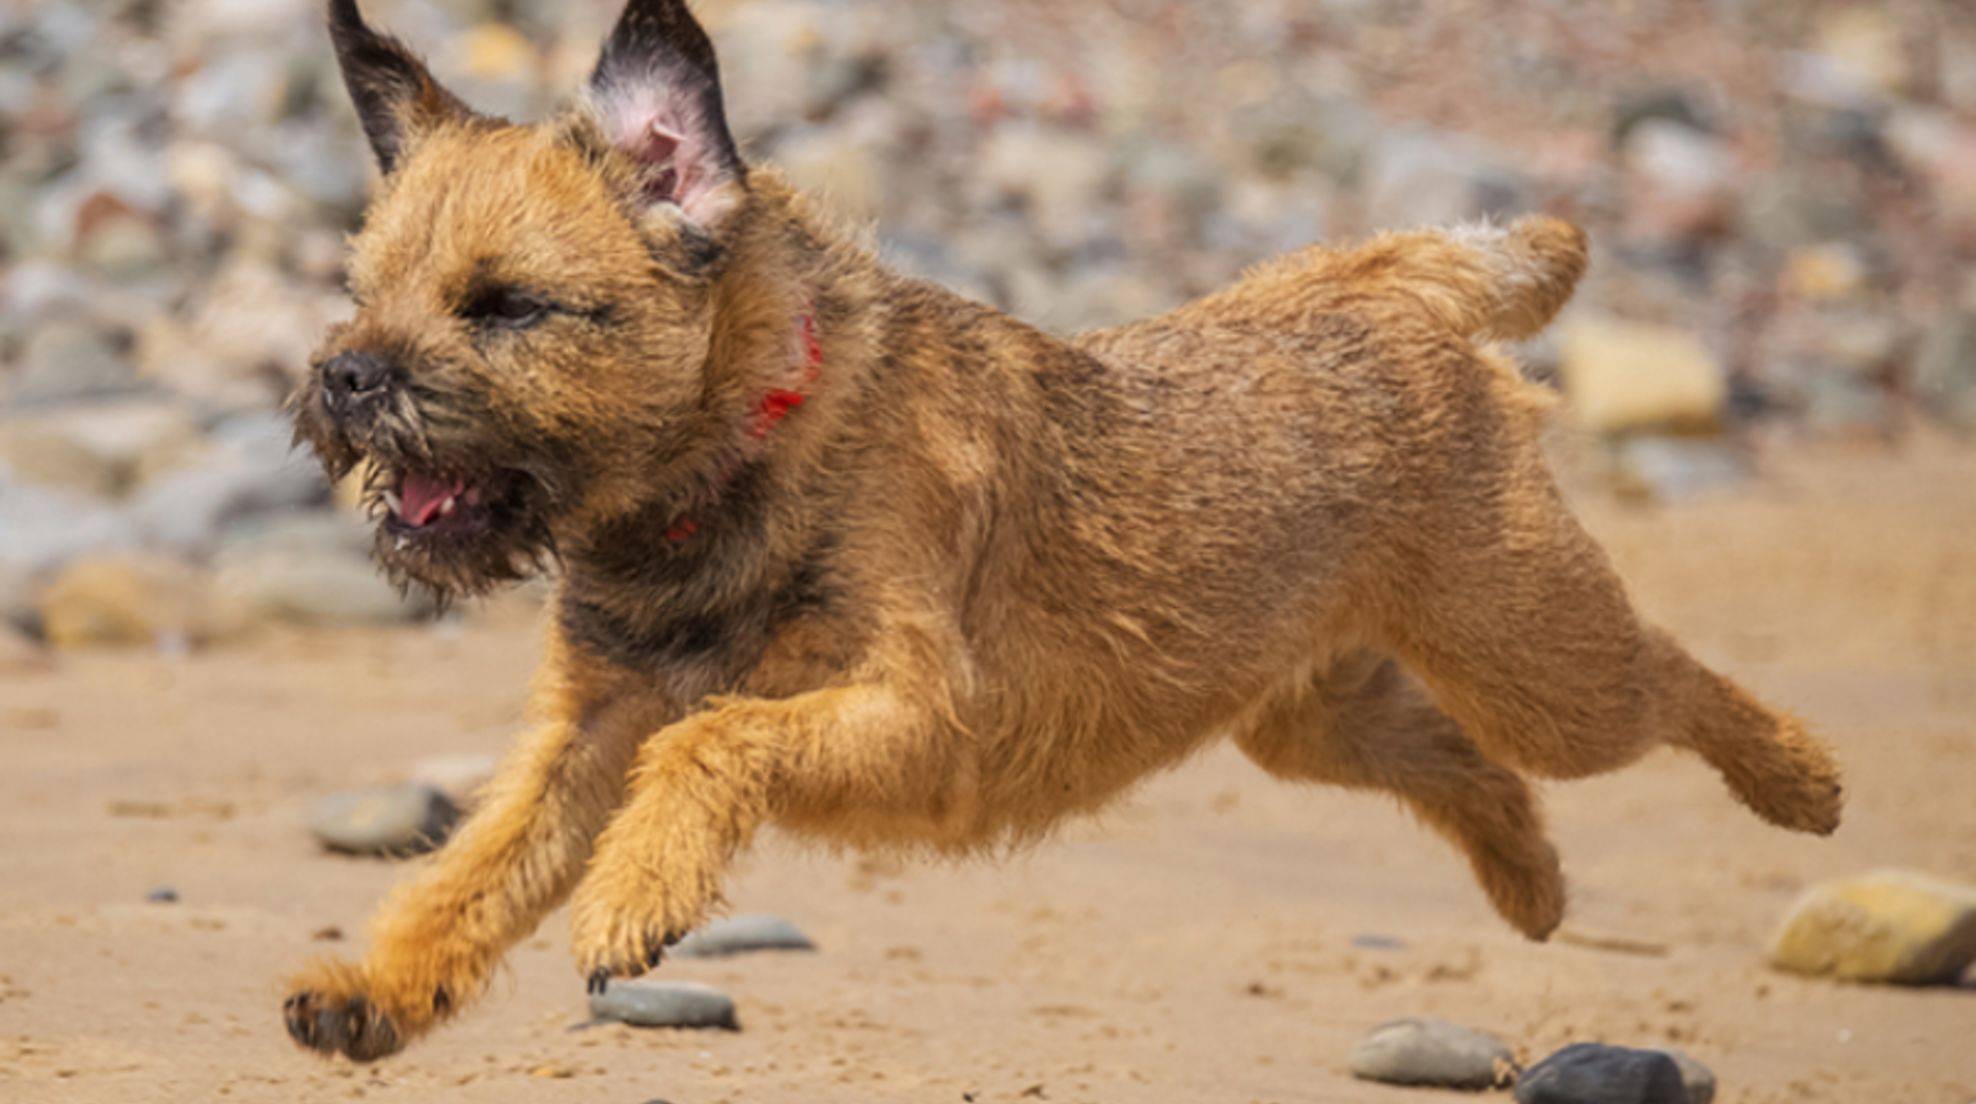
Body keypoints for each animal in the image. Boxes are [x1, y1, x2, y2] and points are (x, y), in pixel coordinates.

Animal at [286, 0, 1841, 1066]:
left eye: (504, 306)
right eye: (361, 291)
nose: (346, 376)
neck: (744, 450)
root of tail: (1382, 282)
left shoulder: (923, 713)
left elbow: (712, 738)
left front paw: (634, 893)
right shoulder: (584, 733)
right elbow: (473, 870)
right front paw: (379, 987)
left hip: (1531, 654)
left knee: (1660, 679)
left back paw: (1799, 780)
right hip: (1314, 715)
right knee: (1463, 765)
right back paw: (1532, 885)